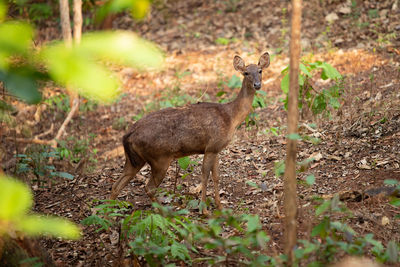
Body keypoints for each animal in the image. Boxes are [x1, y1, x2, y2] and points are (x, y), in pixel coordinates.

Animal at [111, 52, 270, 216]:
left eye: (260, 70)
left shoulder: (216, 149)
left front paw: (221, 208)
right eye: (246, 73)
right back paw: (165, 213)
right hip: (159, 158)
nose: (257, 85)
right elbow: (205, 176)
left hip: (135, 160)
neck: (231, 117)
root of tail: (127, 135)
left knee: (116, 186)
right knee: (149, 188)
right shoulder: (211, 147)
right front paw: (204, 210)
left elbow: (216, 177)